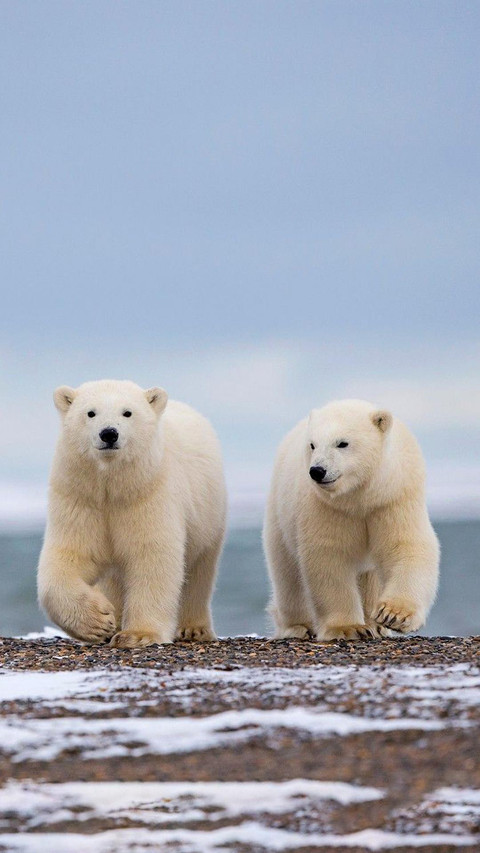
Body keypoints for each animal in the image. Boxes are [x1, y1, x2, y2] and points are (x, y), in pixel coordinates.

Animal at [38, 379, 227, 648]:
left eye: (127, 412)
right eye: (90, 412)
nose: (109, 433)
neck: (113, 488)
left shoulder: (148, 495)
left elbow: (152, 556)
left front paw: (137, 634)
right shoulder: (80, 499)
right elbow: (69, 557)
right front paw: (99, 621)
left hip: (207, 514)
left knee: (199, 569)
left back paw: (193, 629)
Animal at [263, 399, 439, 641]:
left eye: (342, 443)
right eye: (312, 445)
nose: (317, 470)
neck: (359, 497)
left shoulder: (393, 496)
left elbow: (406, 545)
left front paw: (393, 615)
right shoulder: (326, 507)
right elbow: (329, 557)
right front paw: (349, 628)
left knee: (370, 576)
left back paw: (376, 625)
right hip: (280, 516)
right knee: (287, 574)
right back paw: (298, 626)